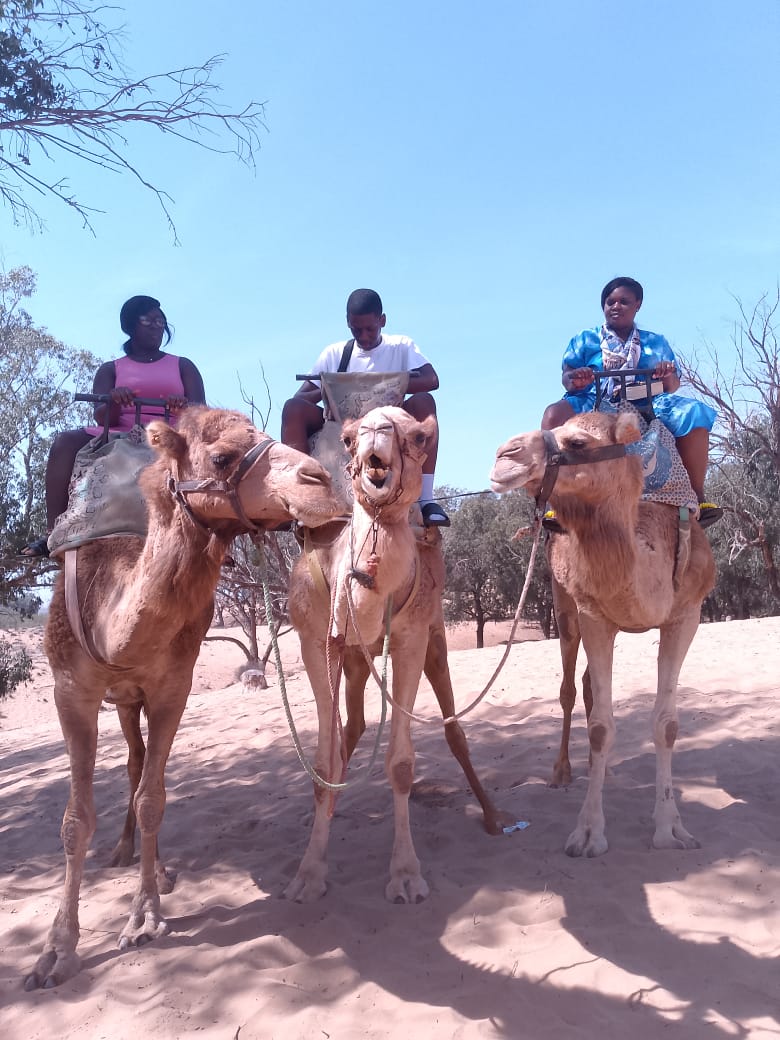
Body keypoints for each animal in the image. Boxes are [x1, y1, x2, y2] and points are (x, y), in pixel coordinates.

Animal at [24, 407, 342, 990]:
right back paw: (124, 853)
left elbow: (154, 800)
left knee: (139, 767)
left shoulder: (174, 688)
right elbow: (75, 821)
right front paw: (56, 952)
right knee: (131, 761)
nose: (320, 481)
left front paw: (144, 917)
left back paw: (157, 868)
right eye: (221, 457)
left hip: (136, 697)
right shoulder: (69, 691)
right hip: (120, 698)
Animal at [285, 407, 507, 905]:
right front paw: (307, 874)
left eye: (420, 437)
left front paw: (405, 875)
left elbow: (402, 765)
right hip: (354, 660)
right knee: (352, 728)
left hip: (434, 639)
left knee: (453, 729)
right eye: (349, 438)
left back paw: (493, 816)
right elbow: (324, 760)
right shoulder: (317, 641)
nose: (374, 432)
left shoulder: (410, 639)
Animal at [490, 409, 716, 858]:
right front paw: (588, 833)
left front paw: (671, 829)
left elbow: (666, 724)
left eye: (578, 443)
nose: (505, 455)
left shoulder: (686, 615)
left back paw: (606, 771)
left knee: (589, 687)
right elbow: (598, 727)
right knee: (569, 688)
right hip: (562, 606)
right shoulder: (592, 613)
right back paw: (562, 771)